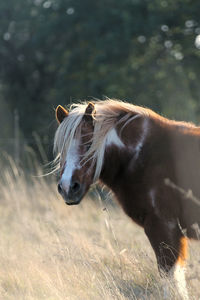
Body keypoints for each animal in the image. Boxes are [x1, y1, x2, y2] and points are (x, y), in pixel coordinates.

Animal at [53, 99, 200, 298]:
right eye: (62, 148)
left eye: (89, 142)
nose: (68, 187)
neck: (144, 156)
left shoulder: (164, 227)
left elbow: (170, 279)